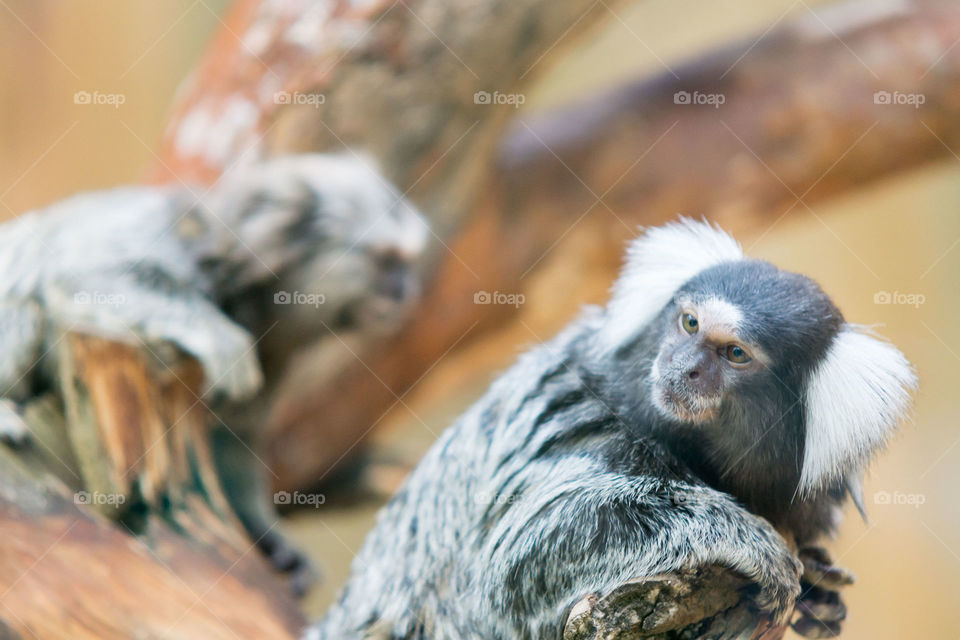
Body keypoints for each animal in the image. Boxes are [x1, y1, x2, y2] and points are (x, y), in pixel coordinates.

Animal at [0, 153, 428, 592]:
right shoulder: (167, 241)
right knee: (24, 302)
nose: (406, 291)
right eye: (386, 261)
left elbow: (233, 440)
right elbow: (85, 276)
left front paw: (270, 541)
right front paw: (223, 340)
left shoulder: (274, 351)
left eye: (407, 264)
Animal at [305, 219, 915, 639]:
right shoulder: (578, 420)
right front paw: (754, 542)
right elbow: (519, 557)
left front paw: (820, 595)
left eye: (735, 354)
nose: (683, 368)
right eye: (689, 323)